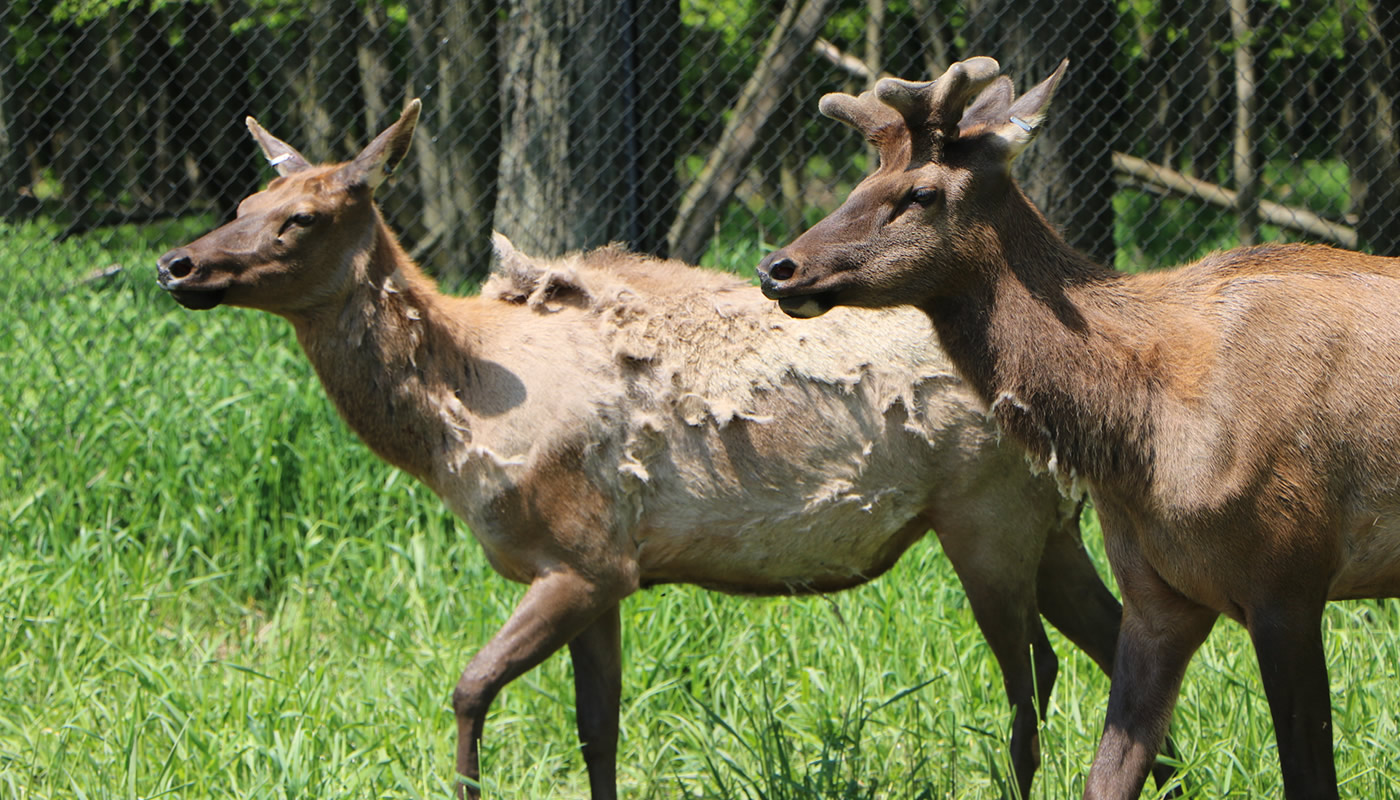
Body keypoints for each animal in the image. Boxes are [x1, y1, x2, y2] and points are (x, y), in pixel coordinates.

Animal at [153, 98, 1142, 795]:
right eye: (246, 198)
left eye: (304, 218)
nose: (177, 264)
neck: (457, 428)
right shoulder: (606, 572)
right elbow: (600, 728)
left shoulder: (584, 557)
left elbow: (470, 687)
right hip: (1051, 522)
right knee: (1114, 642)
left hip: (988, 515)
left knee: (1036, 672)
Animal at [761, 56, 1400, 800]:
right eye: (860, 183)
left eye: (919, 192)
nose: (777, 266)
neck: (1143, 436)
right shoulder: (1157, 597)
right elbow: (1110, 775)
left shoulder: (1291, 574)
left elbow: (1310, 776)